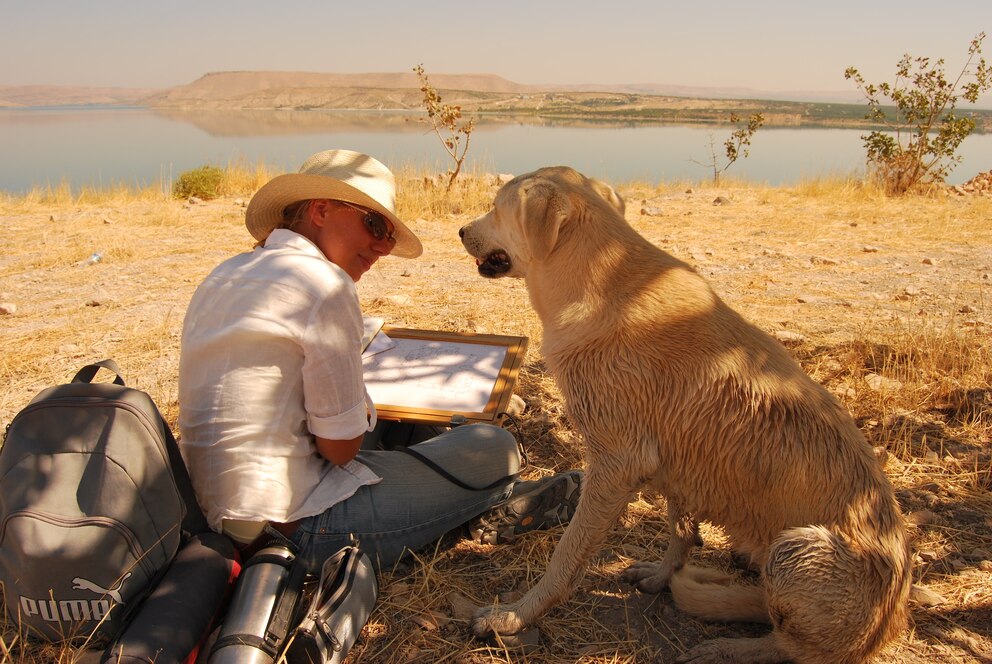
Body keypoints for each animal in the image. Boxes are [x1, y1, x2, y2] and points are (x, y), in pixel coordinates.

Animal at [458, 166, 908, 664]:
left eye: (495, 209)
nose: (460, 231)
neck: (600, 279)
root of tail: (885, 628)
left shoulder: (616, 465)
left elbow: (566, 558)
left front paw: (514, 616)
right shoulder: (677, 455)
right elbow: (681, 532)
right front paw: (660, 575)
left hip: (795, 549)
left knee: (793, 648)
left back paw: (728, 648)